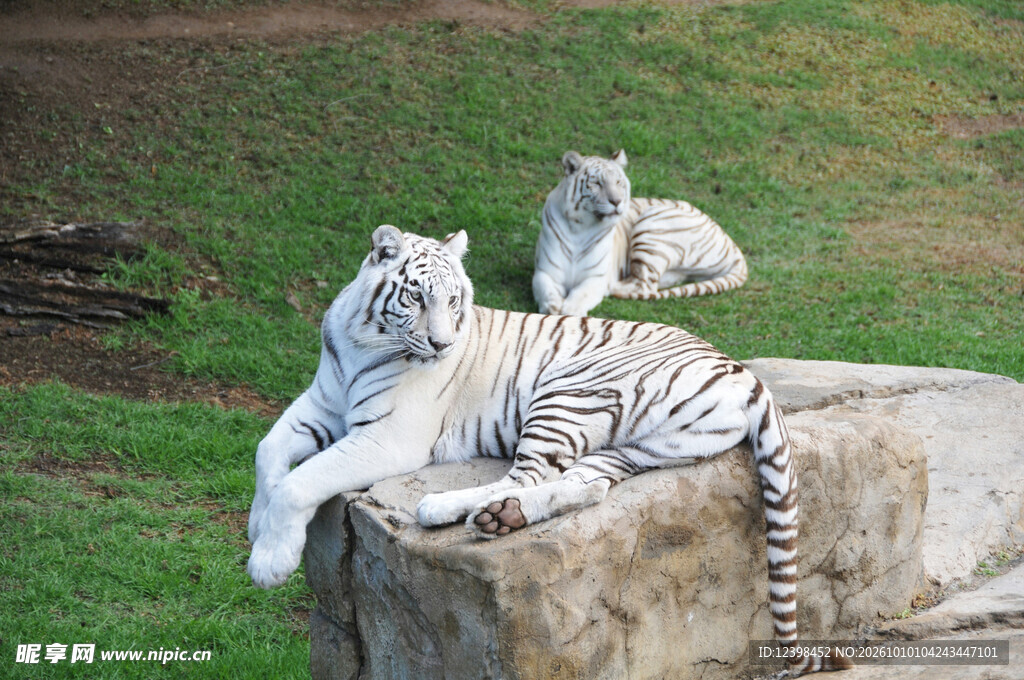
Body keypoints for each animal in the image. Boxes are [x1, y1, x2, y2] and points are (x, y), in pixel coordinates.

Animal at [246, 225, 851, 675]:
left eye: (454, 300)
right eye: (416, 296)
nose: (441, 344)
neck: (359, 337)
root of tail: (743, 371)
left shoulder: (386, 435)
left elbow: (301, 481)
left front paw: (270, 564)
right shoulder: (322, 403)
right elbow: (266, 449)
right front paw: (257, 527)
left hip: (568, 391)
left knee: (526, 475)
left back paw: (448, 509)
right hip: (645, 447)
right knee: (584, 485)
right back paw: (504, 517)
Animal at [533, 149, 749, 317]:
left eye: (618, 182)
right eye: (596, 183)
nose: (617, 201)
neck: (580, 227)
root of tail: (734, 246)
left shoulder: (596, 277)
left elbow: (582, 293)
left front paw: (571, 309)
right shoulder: (545, 271)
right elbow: (545, 290)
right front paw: (552, 306)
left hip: (652, 224)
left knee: (646, 285)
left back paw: (616, 288)